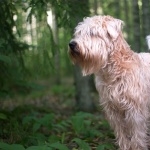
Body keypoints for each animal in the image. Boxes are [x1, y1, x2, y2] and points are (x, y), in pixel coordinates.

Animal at [68, 15, 150, 150]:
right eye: (78, 33)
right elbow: (121, 134)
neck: (112, 72)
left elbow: (137, 136)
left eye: (92, 33)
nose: (72, 44)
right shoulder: (112, 109)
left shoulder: (135, 110)